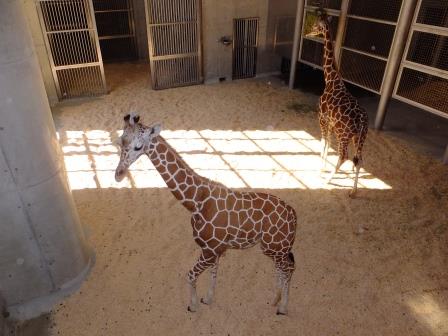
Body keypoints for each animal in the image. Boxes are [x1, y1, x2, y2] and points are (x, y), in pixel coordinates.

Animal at [114, 113, 298, 316]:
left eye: (139, 146)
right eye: (120, 141)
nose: (118, 175)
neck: (196, 202)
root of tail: (293, 215)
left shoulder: (209, 250)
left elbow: (190, 275)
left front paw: (193, 305)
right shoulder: (214, 249)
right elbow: (213, 272)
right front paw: (208, 299)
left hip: (275, 247)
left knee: (289, 267)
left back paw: (282, 307)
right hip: (274, 248)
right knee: (282, 268)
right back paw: (275, 299)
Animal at [308, 13, 368, 197]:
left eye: (316, 25)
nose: (308, 32)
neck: (331, 79)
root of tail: (362, 121)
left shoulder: (322, 118)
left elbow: (323, 142)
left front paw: (320, 170)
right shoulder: (331, 124)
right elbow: (327, 144)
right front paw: (322, 168)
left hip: (344, 135)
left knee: (344, 156)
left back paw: (327, 182)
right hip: (359, 137)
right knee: (358, 159)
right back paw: (353, 191)